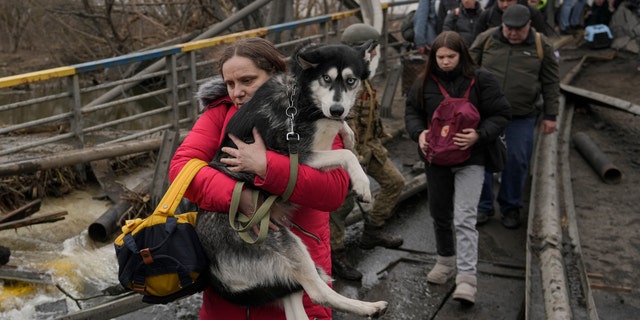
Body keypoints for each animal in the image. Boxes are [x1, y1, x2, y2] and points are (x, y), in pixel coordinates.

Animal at [194, 41, 384, 318]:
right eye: (326, 78)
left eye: (351, 81)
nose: (337, 109)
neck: (301, 96)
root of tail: (212, 270)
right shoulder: (298, 155)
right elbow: (345, 154)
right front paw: (362, 184)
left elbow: (342, 135)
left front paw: (348, 134)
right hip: (285, 242)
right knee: (317, 292)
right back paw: (368, 307)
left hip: (281, 273)